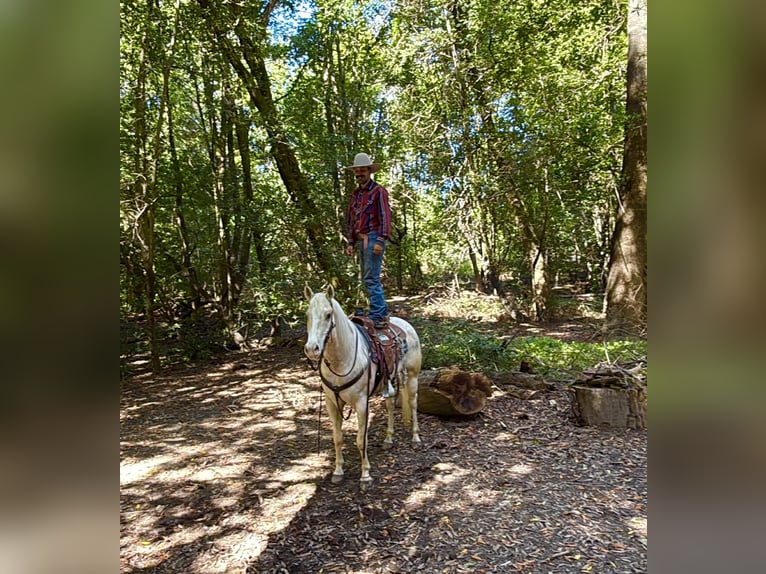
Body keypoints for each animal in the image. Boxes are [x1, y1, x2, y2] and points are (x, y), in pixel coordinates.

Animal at [303, 284, 422, 488]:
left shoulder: (361, 403)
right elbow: (337, 438)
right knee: (390, 406)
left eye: (328, 314)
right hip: (389, 383)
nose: (312, 349)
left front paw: (365, 475)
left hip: (412, 377)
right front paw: (338, 471)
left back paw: (415, 438)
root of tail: (404, 324)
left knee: (413, 404)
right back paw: (388, 439)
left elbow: (361, 439)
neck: (342, 358)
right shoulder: (332, 403)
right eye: (307, 314)